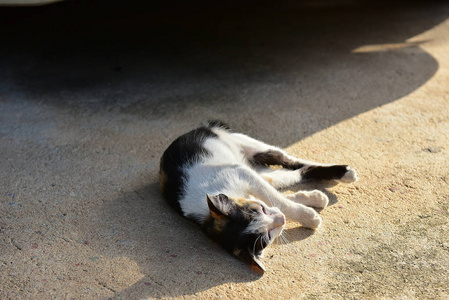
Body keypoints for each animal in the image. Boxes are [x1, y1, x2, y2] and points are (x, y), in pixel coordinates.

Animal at [159, 120, 356, 274]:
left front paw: (307, 215)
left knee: (290, 161)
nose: (282, 220)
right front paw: (312, 204)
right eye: (268, 235)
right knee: (290, 174)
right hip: (259, 168)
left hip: (250, 147)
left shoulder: (240, 173)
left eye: (258, 209)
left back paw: (345, 173)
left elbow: (276, 199)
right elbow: (277, 198)